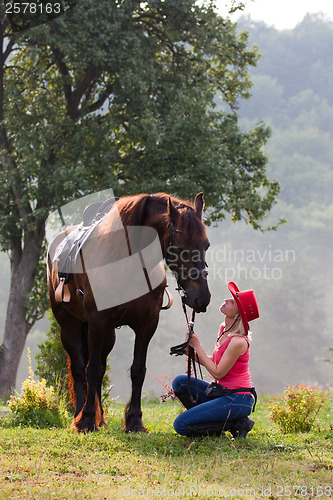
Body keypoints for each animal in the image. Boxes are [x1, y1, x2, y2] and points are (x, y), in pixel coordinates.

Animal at [46, 193, 210, 432]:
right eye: (179, 248)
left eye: (206, 244)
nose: (202, 298)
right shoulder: (97, 322)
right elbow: (90, 370)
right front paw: (86, 420)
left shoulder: (147, 325)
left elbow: (137, 370)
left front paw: (134, 420)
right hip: (69, 326)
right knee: (79, 368)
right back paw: (79, 416)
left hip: (108, 335)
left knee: (100, 369)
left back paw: (101, 419)